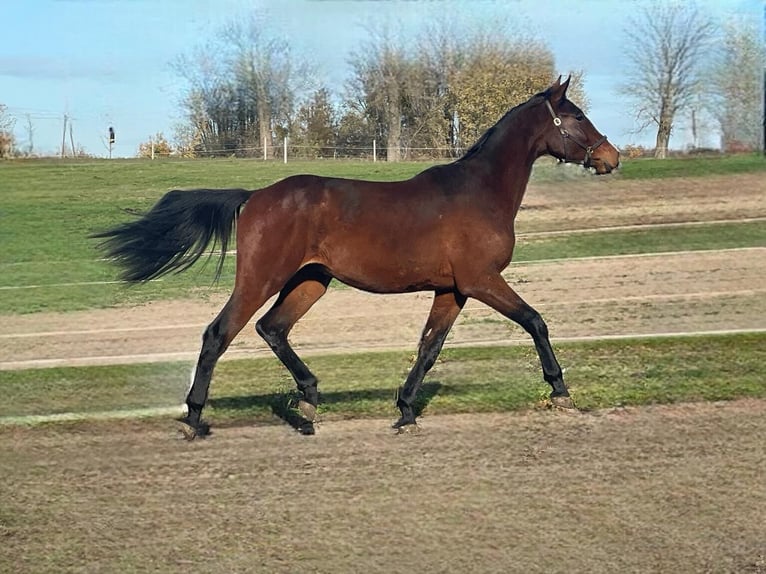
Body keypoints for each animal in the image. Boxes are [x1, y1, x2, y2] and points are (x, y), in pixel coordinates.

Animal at [96, 74, 624, 438]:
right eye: (577, 116)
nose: (611, 157)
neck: (480, 191)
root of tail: (255, 196)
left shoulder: (452, 290)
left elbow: (429, 348)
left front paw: (405, 410)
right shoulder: (481, 280)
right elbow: (535, 321)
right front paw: (560, 391)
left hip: (310, 281)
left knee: (273, 329)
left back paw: (309, 404)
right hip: (262, 278)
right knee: (219, 334)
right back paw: (194, 418)